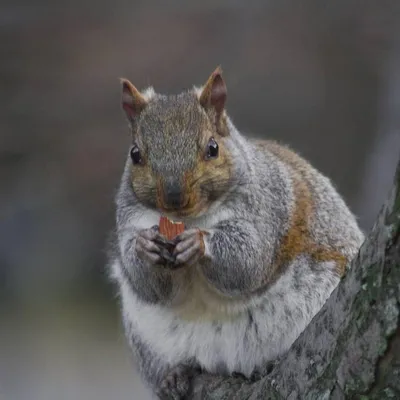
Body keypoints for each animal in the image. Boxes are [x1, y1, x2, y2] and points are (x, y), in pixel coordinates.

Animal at [108, 67, 364, 398]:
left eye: (213, 148)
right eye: (135, 154)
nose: (174, 197)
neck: (189, 219)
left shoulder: (266, 210)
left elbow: (247, 260)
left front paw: (200, 243)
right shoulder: (128, 220)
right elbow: (147, 284)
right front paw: (145, 247)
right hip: (149, 343)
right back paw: (176, 374)